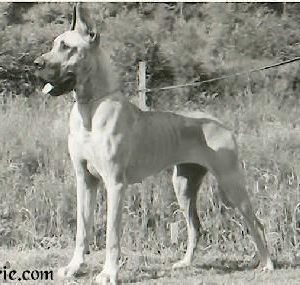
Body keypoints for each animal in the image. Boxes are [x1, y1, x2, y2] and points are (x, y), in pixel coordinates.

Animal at [34, 3, 274, 282]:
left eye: (66, 47)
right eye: (54, 44)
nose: (36, 63)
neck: (91, 107)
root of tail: (221, 123)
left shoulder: (115, 183)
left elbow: (112, 234)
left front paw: (109, 273)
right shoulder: (84, 180)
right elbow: (82, 229)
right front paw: (73, 268)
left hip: (230, 182)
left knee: (255, 222)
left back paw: (267, 264)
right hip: (183, 184)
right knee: (195, 226)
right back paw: (185, 263)